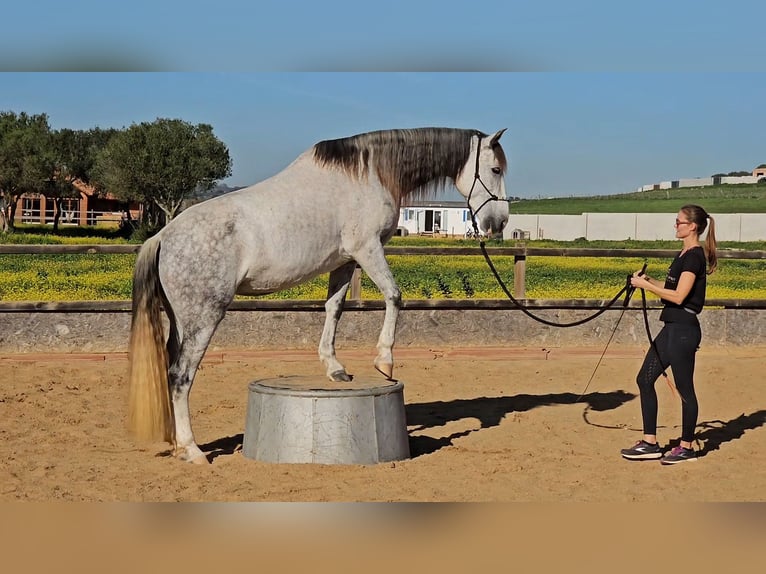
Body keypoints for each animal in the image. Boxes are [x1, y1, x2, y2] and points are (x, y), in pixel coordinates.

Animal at [127, 127, 510, 464]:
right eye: (495, 169)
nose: (500, 223)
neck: (367, 174)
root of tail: (162, 237)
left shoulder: (344, 259)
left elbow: (334, 307)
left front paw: (335, 368)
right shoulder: (367, 248)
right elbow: (394, 295)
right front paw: (384, 360)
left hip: (182, 321)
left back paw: (178, 444)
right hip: (205, 317)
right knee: (180, 376)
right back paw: (192, 450)